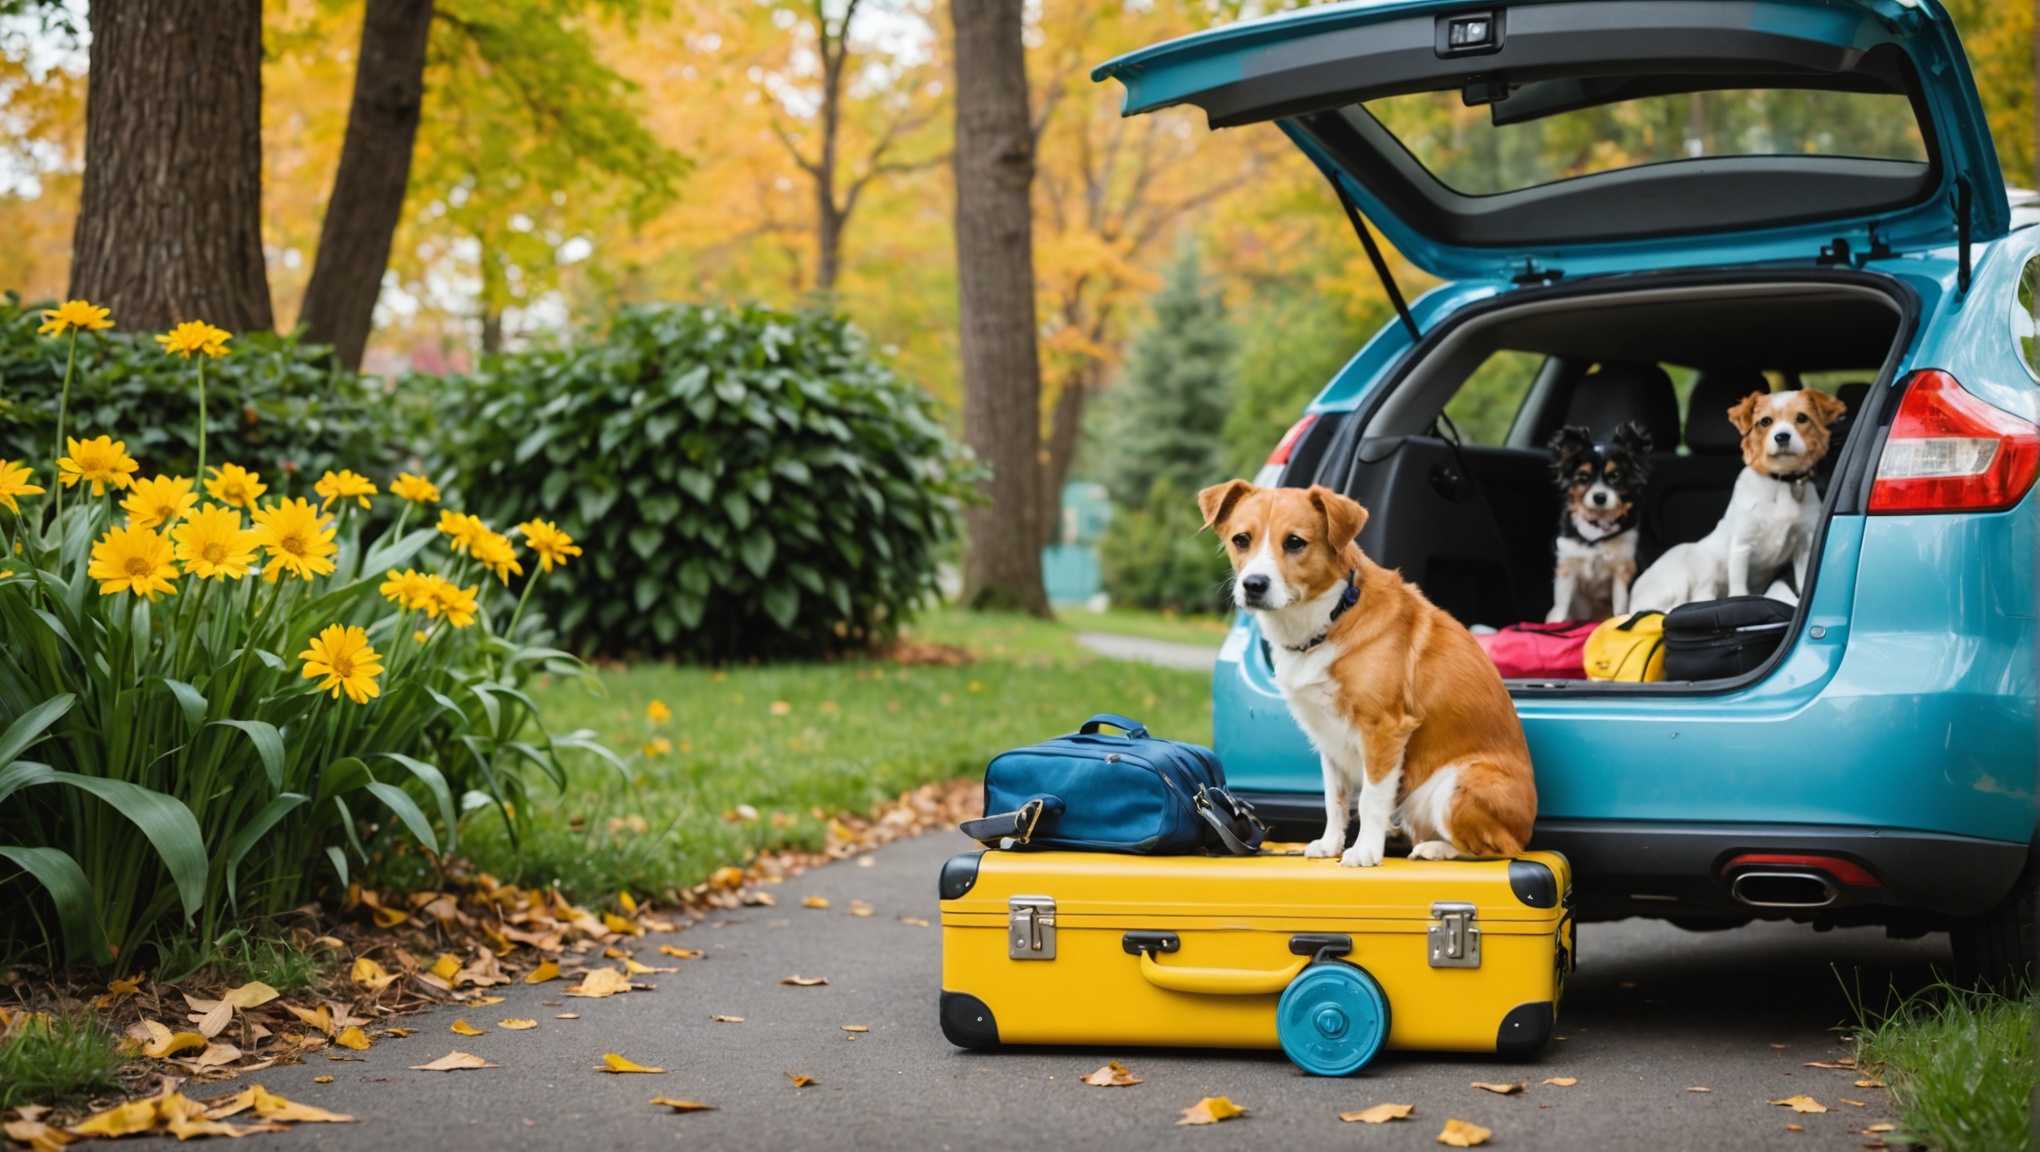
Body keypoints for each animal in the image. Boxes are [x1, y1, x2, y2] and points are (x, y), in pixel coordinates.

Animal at [1191, 481, 1534, 868]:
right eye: (1241, 539)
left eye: (1294, 542)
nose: (1254, 584)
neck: (1331, 618)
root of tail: (1525, 829)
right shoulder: (1328, 737)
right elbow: (1335, 800)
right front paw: (1331, 844)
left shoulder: (1383, 730)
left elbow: (1370, 799)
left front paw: (1366, 850)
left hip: (1455, 786)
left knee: (1499, 849)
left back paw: (1436, 849)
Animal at [1542, 422, 1656, 619]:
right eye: (1583, 477)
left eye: (1615, 475)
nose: (1600, 497)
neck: (1597, 527)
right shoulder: (1567, 568)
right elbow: (1561, 608)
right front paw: (1557, 623)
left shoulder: (1622, 569)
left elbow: (1620, 607)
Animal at [1623, 391, 1852, 611]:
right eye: (1765, 421)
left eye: (1802, 417)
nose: (1782, 437)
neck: (1781, 483)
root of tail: (1633, 601)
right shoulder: (1742, 547)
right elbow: (1739, 588)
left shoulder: (1804, 546)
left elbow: (1804, 581)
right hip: (1692, 569)